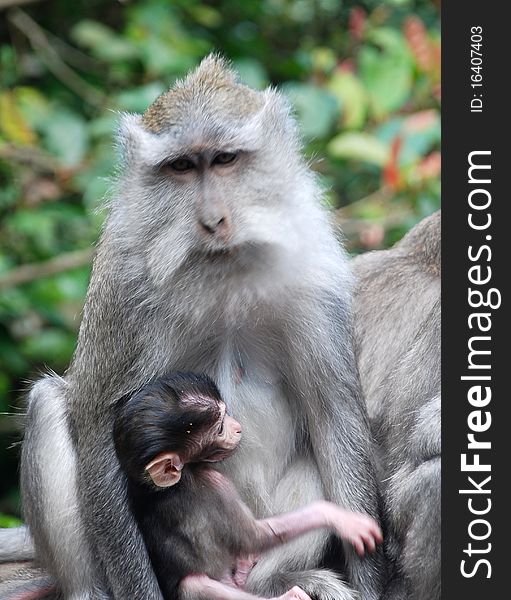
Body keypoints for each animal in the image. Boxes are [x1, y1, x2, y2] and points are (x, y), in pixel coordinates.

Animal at [19, 56, 384, 600]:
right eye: (182, 167)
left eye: (225, 159)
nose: (213, 221)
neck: (224, 273)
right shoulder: (123, 282)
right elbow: (97, 425)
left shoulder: (313, 271)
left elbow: (333, 416)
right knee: (48, 405)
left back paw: (280, 581)